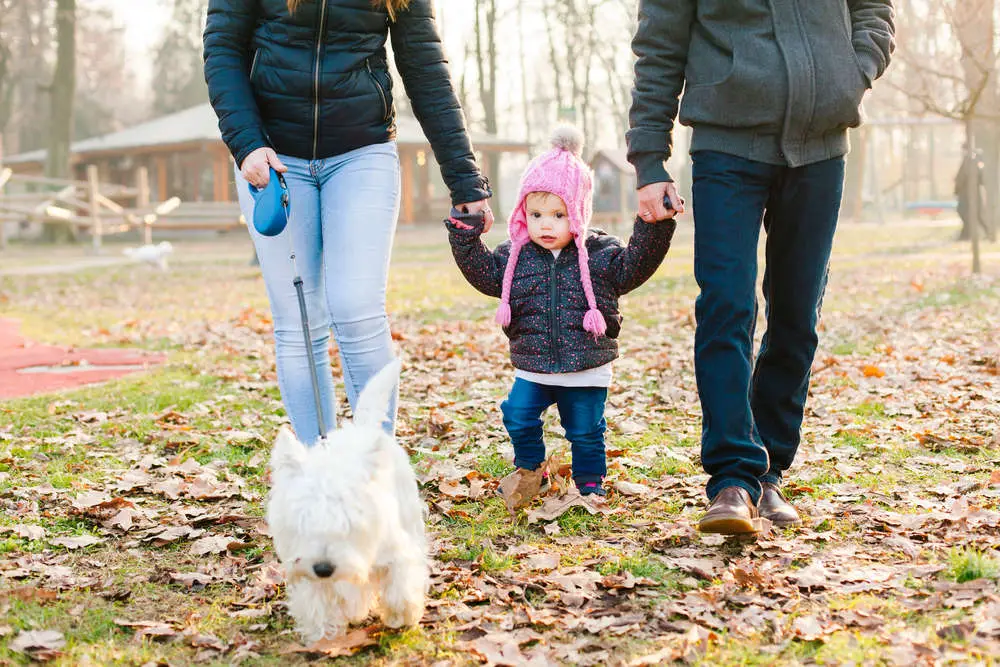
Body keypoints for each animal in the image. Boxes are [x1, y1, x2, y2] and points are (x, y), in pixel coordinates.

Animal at [270, 362, 430, 644]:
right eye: (303, 522)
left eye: (349, 523)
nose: (323, 568)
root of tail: (363, 428)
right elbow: (317, 604)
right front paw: (324, 636)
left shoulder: (397, 552)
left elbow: (400, 585)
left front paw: (400, 616)